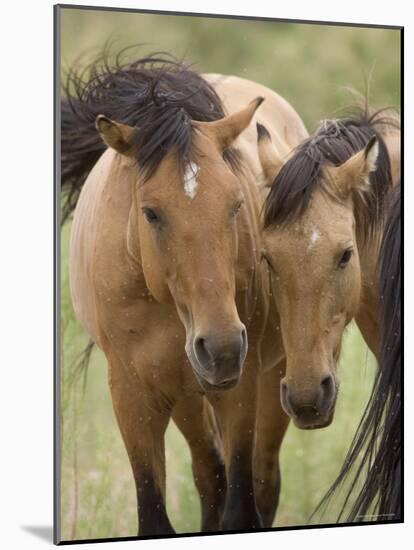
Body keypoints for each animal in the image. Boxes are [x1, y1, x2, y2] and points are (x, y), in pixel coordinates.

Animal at [62, 54, 308, 536]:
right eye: (151, 213)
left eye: (236, 204)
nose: (221, 347)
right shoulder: (133, 397)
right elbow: (158, 513)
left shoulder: (240, 387)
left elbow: (241, 507)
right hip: (186, 396)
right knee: (209, 473)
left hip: (270, 377)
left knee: (260, 479)